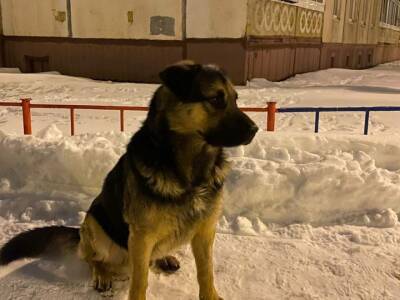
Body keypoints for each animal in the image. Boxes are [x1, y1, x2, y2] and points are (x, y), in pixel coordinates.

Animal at [0, 61, 260, 300]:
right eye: (216, 99)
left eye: (235, 99)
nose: (255, 129)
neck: (190, 169)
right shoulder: (141, 238)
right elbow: (140, 281)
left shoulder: (205, 232)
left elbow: (206, 273)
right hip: (95, 225)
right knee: (93, 259)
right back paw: (102, 275)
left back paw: (164, 257)